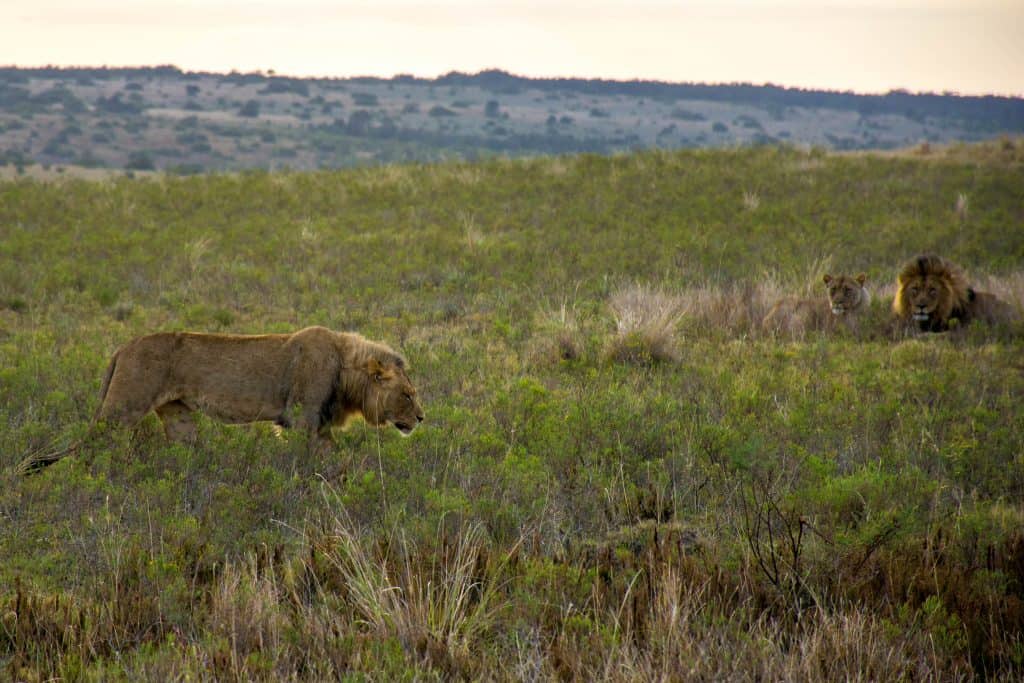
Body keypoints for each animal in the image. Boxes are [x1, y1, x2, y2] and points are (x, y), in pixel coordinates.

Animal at [19, 325, 428, 475]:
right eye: (407, 395)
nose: (422, 418)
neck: (345, 368)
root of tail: (123, 347)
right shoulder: (302, 420)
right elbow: (309, 458)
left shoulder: (319, 425)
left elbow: (334, 458)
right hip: (123, 407)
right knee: (89, 449)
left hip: (178, 416)